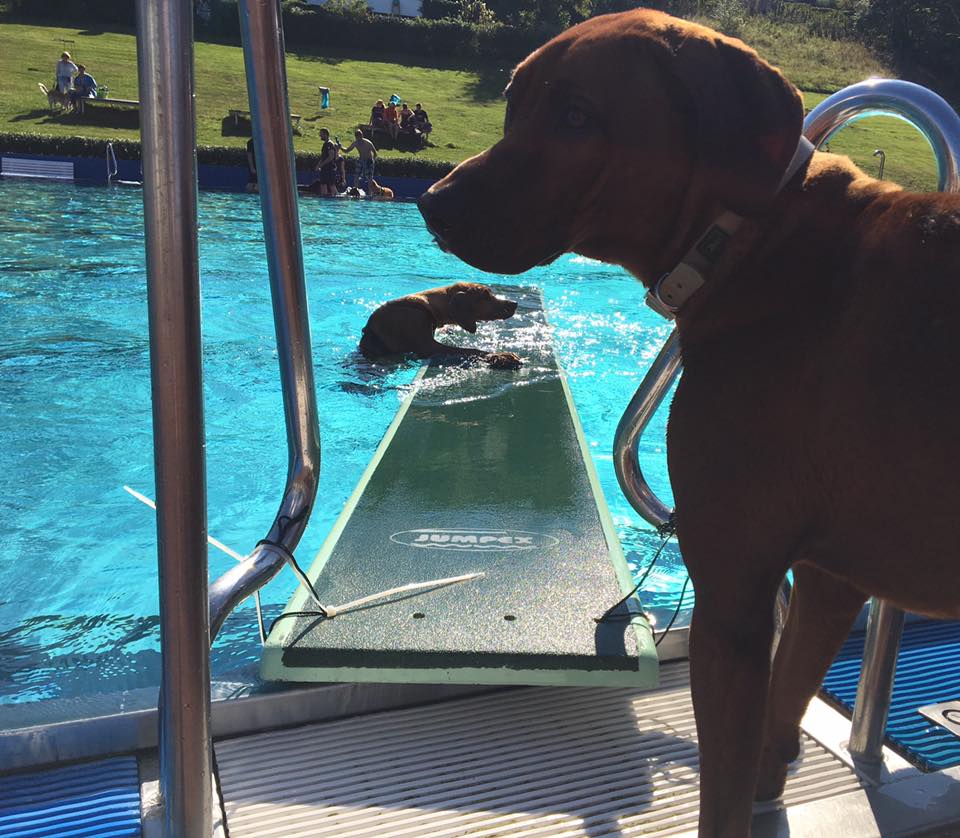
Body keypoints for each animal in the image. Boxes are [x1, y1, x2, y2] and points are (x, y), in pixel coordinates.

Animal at [360, 284, 520, 370]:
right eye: (485, 296)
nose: (514, 304)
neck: (430, 307)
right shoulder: (428, 347)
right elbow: (471, 350)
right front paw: (501, 356)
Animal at [416, 8, 960, 838]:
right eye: (514, 103)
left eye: (577, 117)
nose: (432, 202)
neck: (749, 240)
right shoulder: (827, 579)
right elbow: (783, 702)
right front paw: (774, 777)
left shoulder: (731, 590)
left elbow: (723, 789)